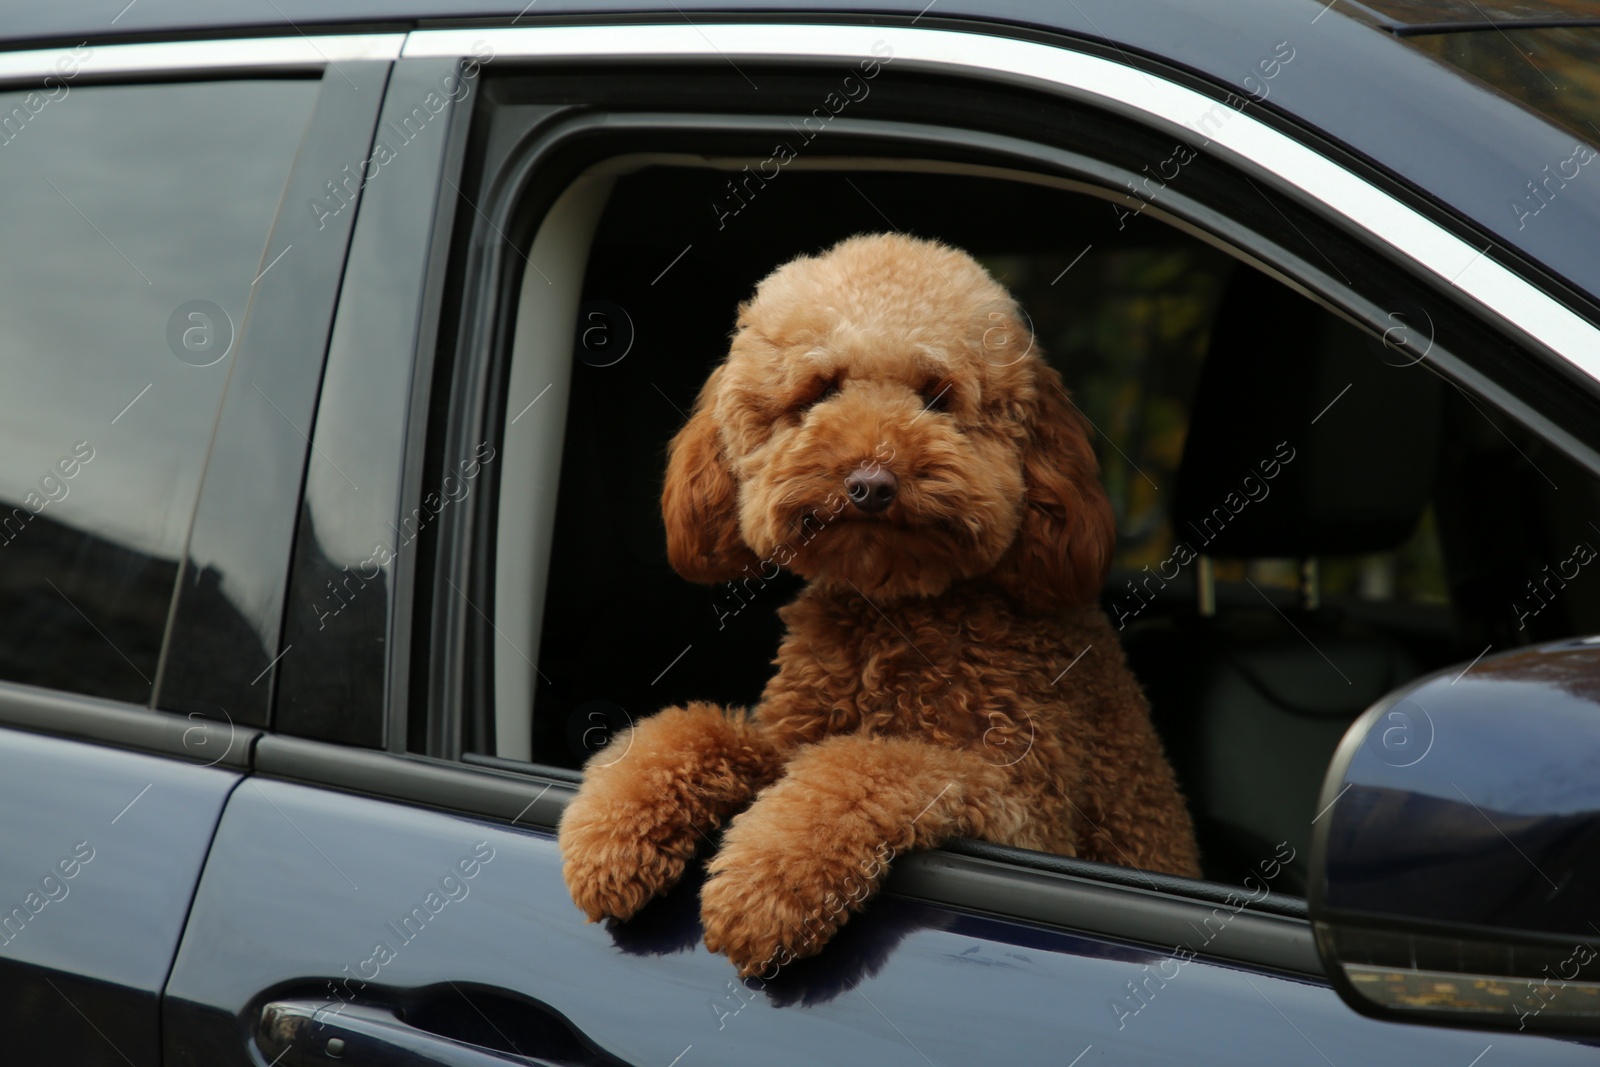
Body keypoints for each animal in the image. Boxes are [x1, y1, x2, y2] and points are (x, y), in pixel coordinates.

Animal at [563, 231, 1203, 979]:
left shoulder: (1023, 803)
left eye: (938, 396)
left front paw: (764, 885)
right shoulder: (785, 735)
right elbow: (696, 729)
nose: (870, 483)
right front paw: (612, 831)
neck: (891, 612)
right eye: (820, 390)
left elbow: (867, 765)